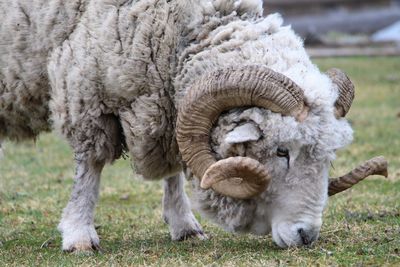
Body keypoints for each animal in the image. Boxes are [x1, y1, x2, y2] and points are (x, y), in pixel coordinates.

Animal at [0, 0, 388, 252]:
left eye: (327, 158)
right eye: (282, 151)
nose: (307, 236)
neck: (179, 24)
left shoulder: (167, 102)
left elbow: (174, 164)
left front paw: (184, 226)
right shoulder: (86, 91)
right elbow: (89, 169)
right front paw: (79, 234)